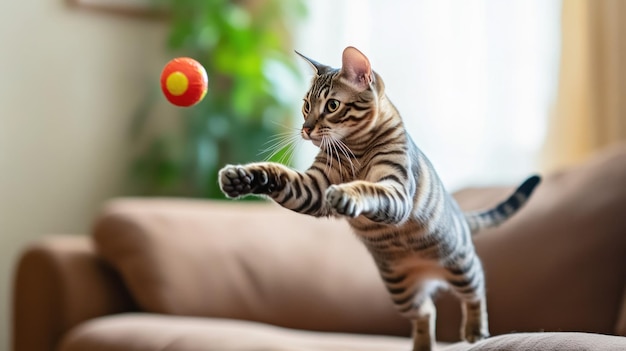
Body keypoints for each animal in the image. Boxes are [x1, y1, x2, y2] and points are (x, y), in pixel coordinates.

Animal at [217, 46, 540, 351]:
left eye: (332, 105)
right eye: (306, 105)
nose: (306, 129)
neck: (354, 149)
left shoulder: (395, 188)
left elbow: (368, 189)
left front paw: (347, 193)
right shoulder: (312, 187)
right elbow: (275, 174)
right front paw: (242, 177)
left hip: (459, 264)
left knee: (476, 289)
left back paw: (475, 330)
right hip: (401, 290)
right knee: (426, 311)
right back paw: (421, 347)